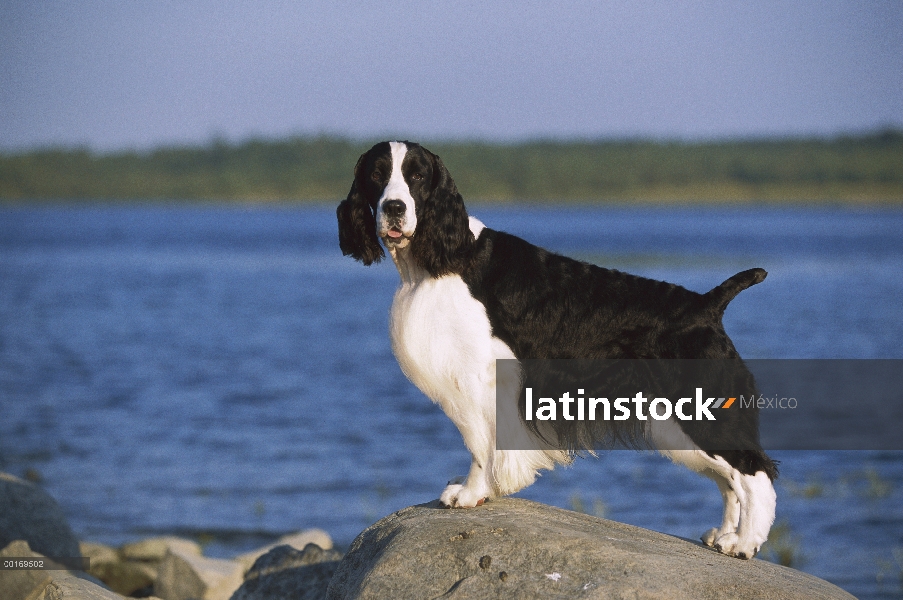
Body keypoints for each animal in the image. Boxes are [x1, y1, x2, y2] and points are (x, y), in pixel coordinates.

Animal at [338, 143, 776, 560]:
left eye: (417, 175)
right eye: (377, 174)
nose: (394, 208)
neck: (448, 257)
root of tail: (706, 305)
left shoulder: (480, 379)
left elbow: (480, 443)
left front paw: (469, 493)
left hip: (701, 411)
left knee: (754, 474)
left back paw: (743, 545)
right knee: (729, 480)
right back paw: (723, 535)